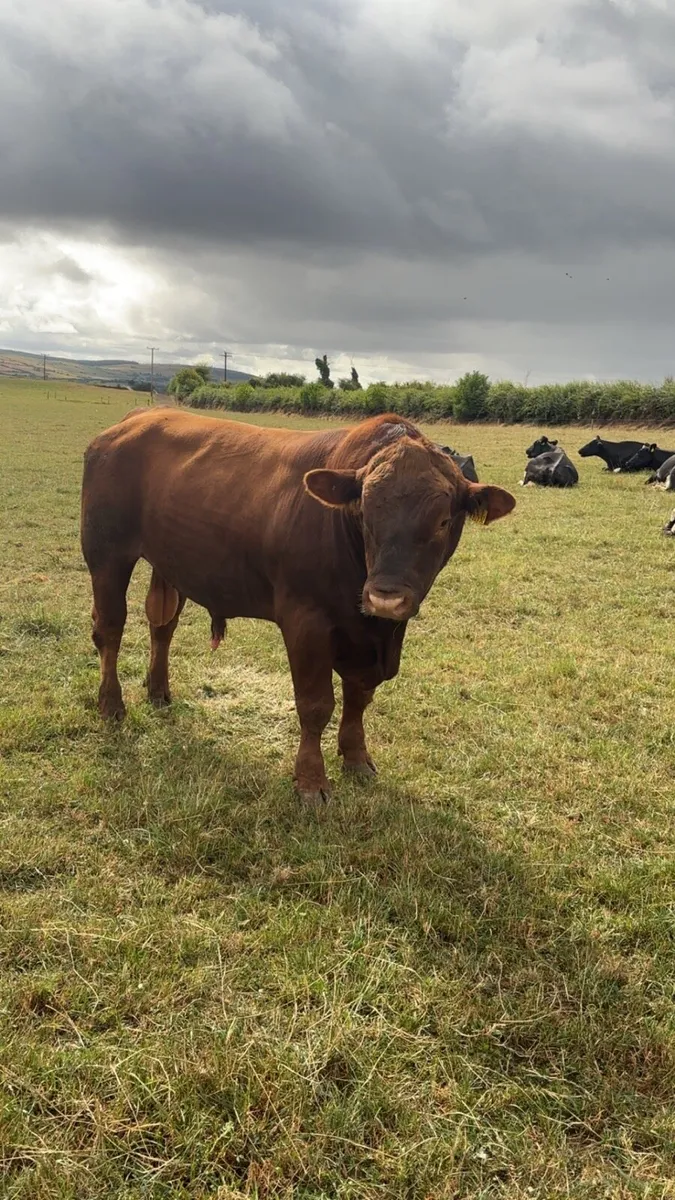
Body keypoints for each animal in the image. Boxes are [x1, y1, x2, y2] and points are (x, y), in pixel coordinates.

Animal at [81, 410, 515, 803]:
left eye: (442, 521)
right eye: (364, 513)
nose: (386, 596)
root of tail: (134, 419)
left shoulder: (371, 640)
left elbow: (359, 698)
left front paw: (356, 759)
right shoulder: (306, 622)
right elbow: (315, 704)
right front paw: (311, 782)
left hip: (168, 561)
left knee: (162, 625)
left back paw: (158, 691)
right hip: (106, 554)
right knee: (109, 629)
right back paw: (111, 704)